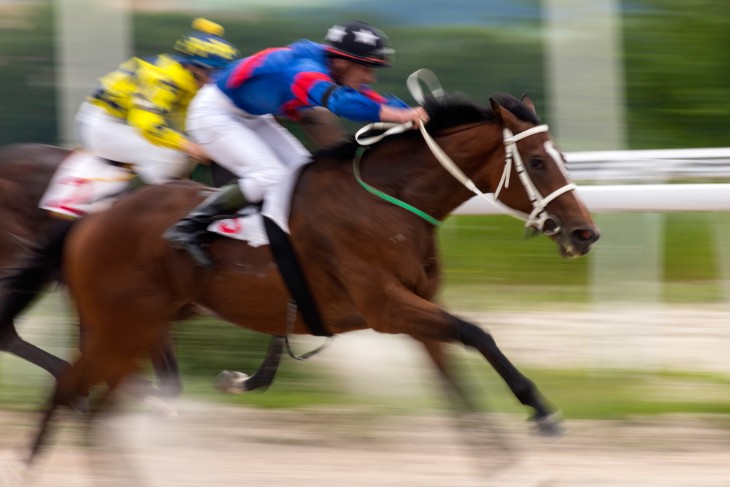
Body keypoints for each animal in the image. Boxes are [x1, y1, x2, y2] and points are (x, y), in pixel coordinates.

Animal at [28, 93, 596, 464]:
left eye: (564, 158)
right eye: (538, 161)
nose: (585, 232)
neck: (389, 202)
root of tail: (89, 221)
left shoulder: (415, 309)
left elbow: (454, 378)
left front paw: (497, 455)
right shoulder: (386, 307)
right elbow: (479, 333)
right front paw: (542, 413)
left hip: (136, 327)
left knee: (95, 403)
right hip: (120, 325)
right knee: (69, 390)